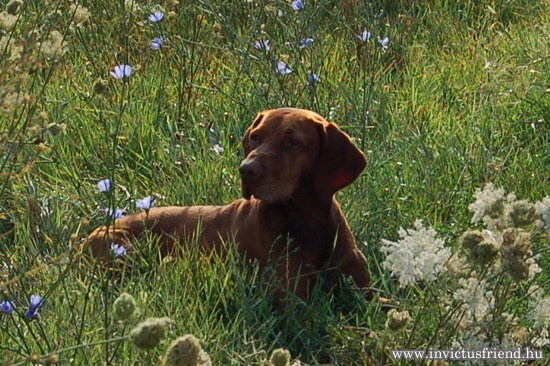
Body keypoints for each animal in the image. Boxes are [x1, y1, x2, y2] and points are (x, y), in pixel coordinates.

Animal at [85, 108, 370, 300]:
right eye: (255, 137)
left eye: (293, 142)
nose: (246, 170)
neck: (309, 223)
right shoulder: (293, 298)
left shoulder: (366, 290)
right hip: (123, 248)